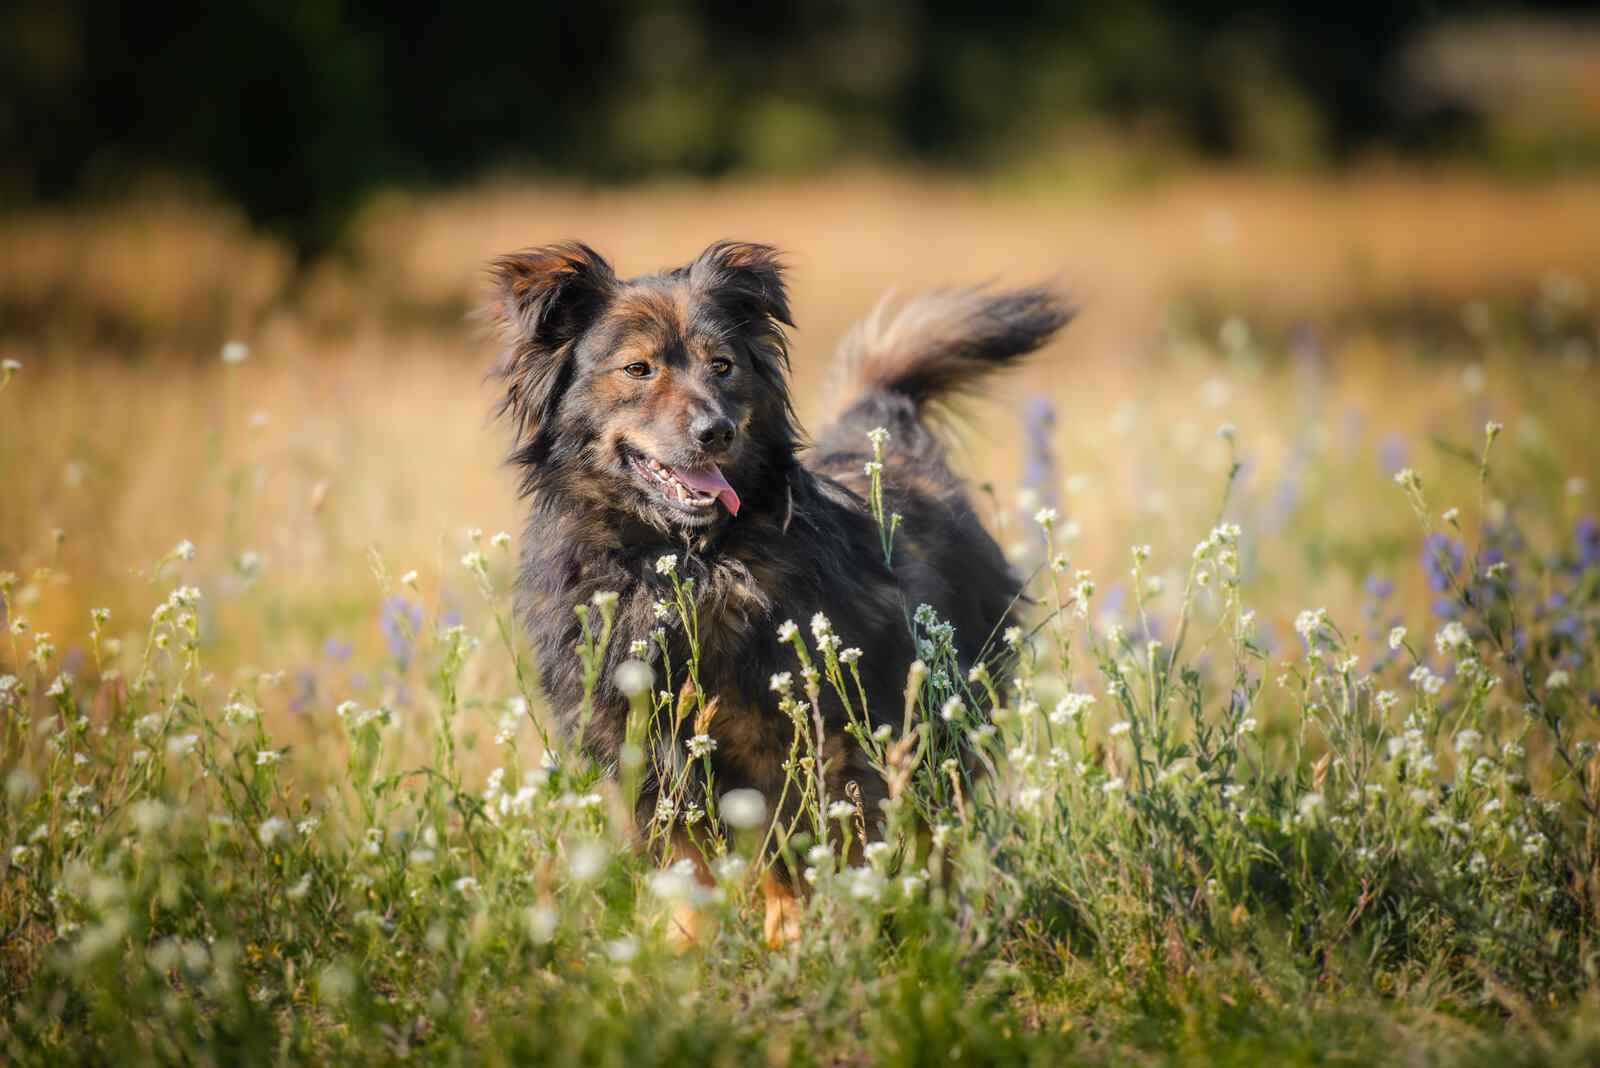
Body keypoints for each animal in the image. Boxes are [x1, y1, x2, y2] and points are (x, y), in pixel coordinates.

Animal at [486, 239, 1062, 940]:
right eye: (638, 368)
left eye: (723, 365)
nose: (715, 431)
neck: (680, 561)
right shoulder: (642, 759)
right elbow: (685, 876)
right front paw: (681, 952)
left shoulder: (792, 752)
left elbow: (787, 868)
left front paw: (792, 944)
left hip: (939, 734)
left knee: (936, 839)